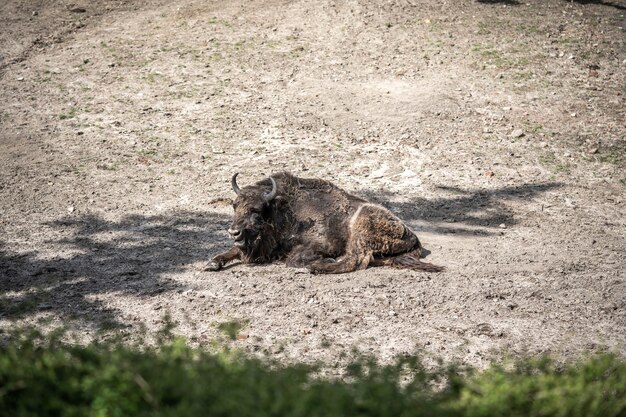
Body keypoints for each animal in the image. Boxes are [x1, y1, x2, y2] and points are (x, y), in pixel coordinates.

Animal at [207, 171, 442, 274]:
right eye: (234, 205)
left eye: (256, 210)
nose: (234, 232)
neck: (284, 208)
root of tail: (413, 236)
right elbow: (231, 251)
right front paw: (212, 263)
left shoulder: (319, 244)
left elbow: (294, 259)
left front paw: (319, 261)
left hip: (361, 228)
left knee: (352, 261)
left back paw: (319, 267)